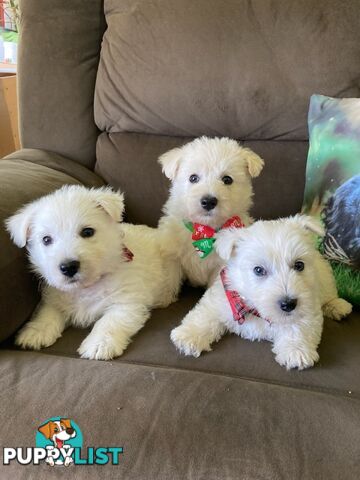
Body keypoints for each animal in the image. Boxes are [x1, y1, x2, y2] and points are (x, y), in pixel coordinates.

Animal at [7, 186, 183, 358]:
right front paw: (35, 332)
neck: (86, 287)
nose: (68, 267)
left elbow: (108, 322)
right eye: (46, 239)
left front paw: (99, 344)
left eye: (87, 232)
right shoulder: (55, 296)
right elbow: (47, 312)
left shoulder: (127, 301)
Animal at [158, 135, 264, 286]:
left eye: (227, 179)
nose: (208, 202)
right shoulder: (172, 256)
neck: (205, 230)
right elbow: (169, 281)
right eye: (193, 178)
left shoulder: (221, 267)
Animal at [171, 216, 352, 370]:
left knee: (329, 294)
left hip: (324, 277)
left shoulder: (307, 306)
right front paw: (188, 336)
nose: (288, 304)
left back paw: (338, 306)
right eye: (258, 270)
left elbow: (298, 326)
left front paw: (296, 352)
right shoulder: (220, 299)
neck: (254, 310)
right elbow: (204, 315)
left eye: (299, 265)